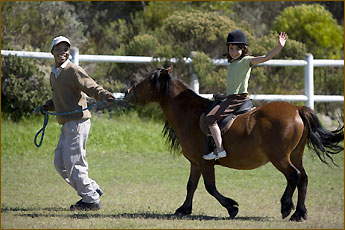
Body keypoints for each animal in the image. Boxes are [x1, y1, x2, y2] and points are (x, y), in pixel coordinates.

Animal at [124, 66, 344, 221]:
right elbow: (191, 185)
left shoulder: (205, 163)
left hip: (280, 157)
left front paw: (232, 207)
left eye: (146, 80)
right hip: (296, 154)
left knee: (293, 176)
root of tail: (297, 109)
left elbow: (210, 187)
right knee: (303, 179)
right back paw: (299, 213)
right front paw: (184, 209)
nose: (127, 92)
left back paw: (286, 207)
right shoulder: (196, 163)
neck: (192, 115)